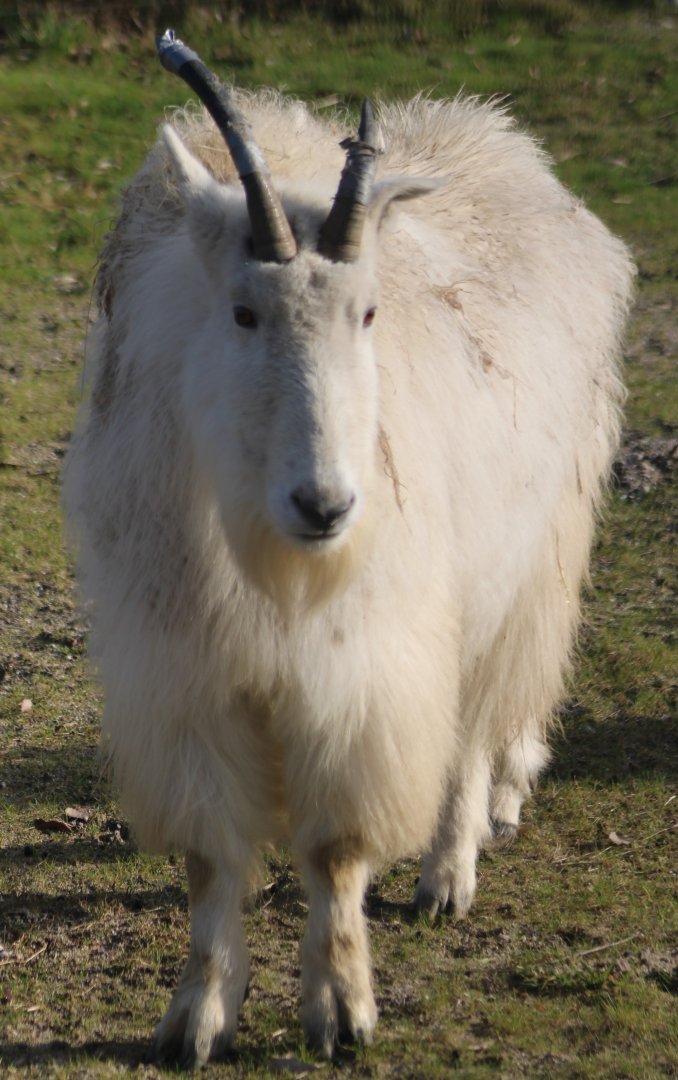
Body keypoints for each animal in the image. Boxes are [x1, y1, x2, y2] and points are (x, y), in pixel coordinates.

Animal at [64, 30, 634, 1067]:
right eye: (243, 311)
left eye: (368, 313)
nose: (326, 505)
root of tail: (506, 144)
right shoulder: (185, 673)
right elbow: (211, 857)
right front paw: (196, 1017)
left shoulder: (360, 664)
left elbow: (335, 848)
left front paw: (341, 1012)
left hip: (514, 574)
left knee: (473, 732)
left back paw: (448, 874)